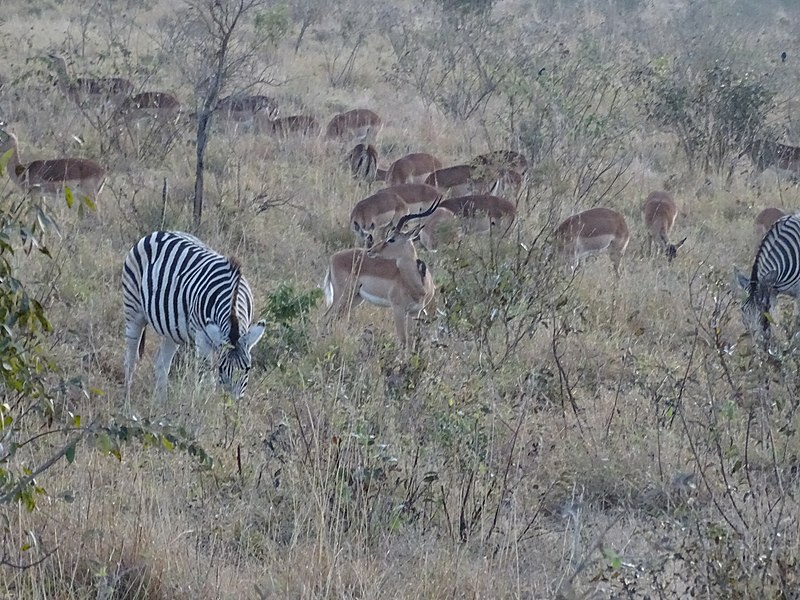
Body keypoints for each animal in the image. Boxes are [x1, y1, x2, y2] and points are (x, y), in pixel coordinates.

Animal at [122, 232, 266, 406]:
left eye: (248, 368)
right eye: (221, 368)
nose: (231, 404)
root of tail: (158, 233)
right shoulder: (202, 337)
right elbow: (206, 379)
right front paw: (205, 405)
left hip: (172, 331)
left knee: (161, 366)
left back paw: (162, 406)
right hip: (133, 310)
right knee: (130, 359)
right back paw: (127, 402)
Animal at [322, 200, 440, 346]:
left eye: (392, 239)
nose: (371, 250)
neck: (417, 284)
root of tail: (333, 257)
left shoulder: (414, 312)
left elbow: (410, 341)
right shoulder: (397, 309)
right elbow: (403, 340)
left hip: (355, 298)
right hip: (343, 296)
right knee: (327, 317)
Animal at [736, 212, 800, 342]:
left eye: (760, 308)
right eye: (743, 309)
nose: (755, 340)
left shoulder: (798, 291)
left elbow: (796, 317)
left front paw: (792, 340)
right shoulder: (772, 290)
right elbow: (774, 316)